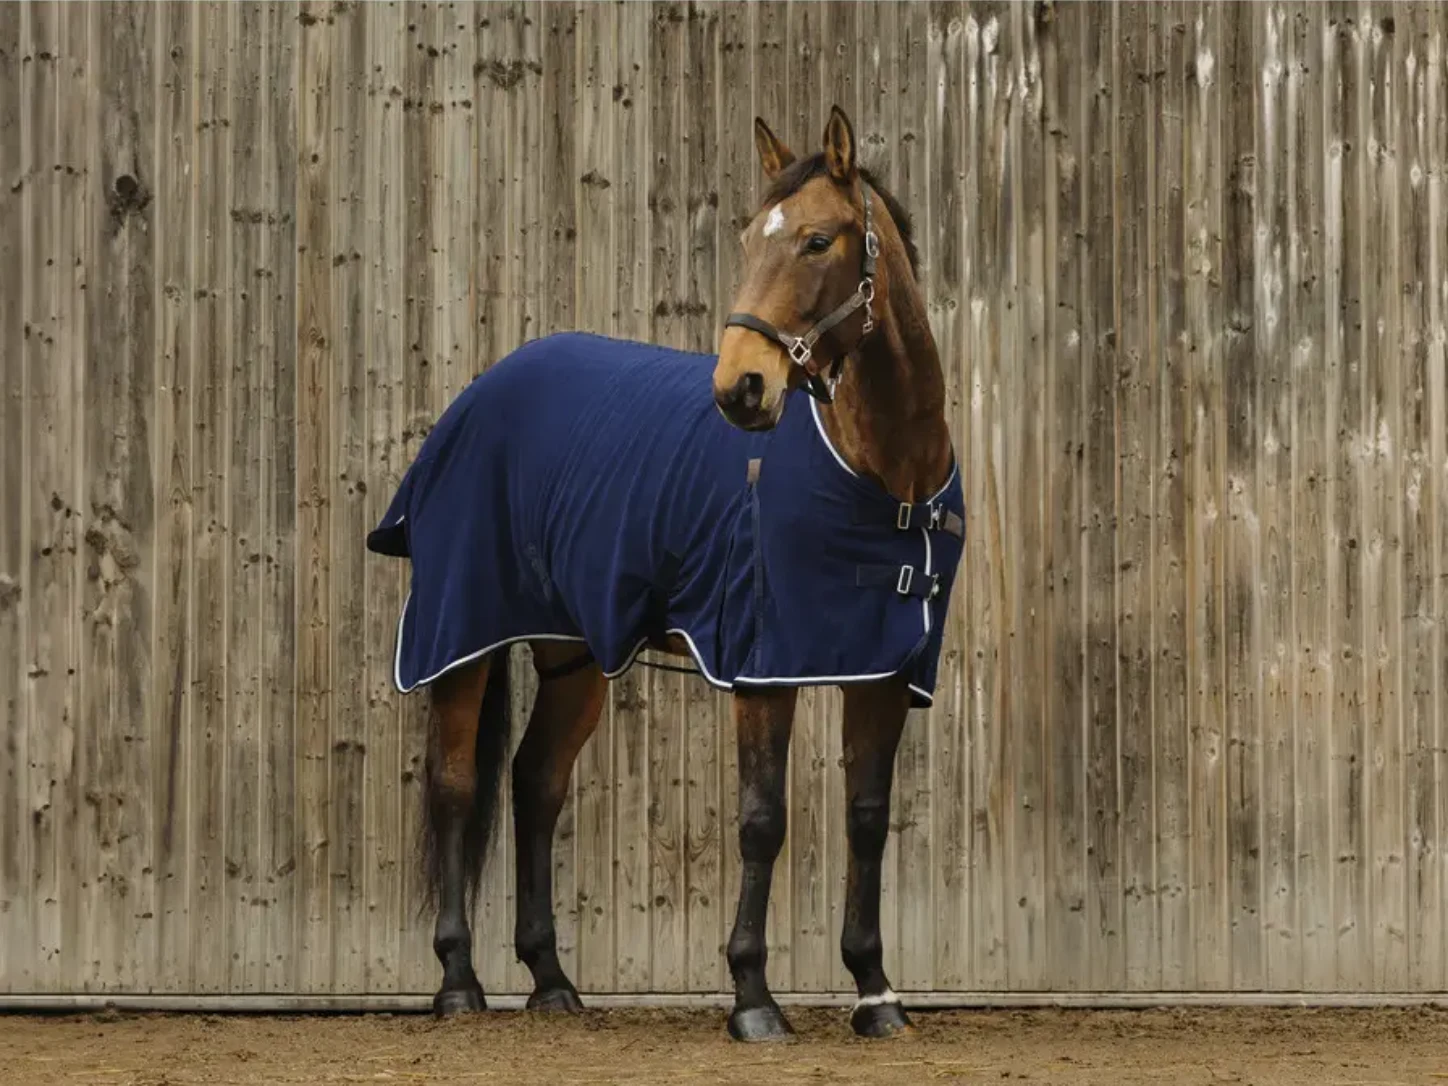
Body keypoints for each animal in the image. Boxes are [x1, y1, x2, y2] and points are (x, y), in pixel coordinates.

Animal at [365, 106, 963, 1042]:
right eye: (749, 237)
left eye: (818, 241)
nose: (740, 388)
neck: (884, 475)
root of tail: (482, 392)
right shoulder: (763, 665)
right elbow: (763, 819)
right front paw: (753, 997)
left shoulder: (884, 669)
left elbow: (868, 820)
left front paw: (875, 993)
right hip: (464, 634)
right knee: (457, 786)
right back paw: (458, 982)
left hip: (573, 653)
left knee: (536, 784)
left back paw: (552, 981)